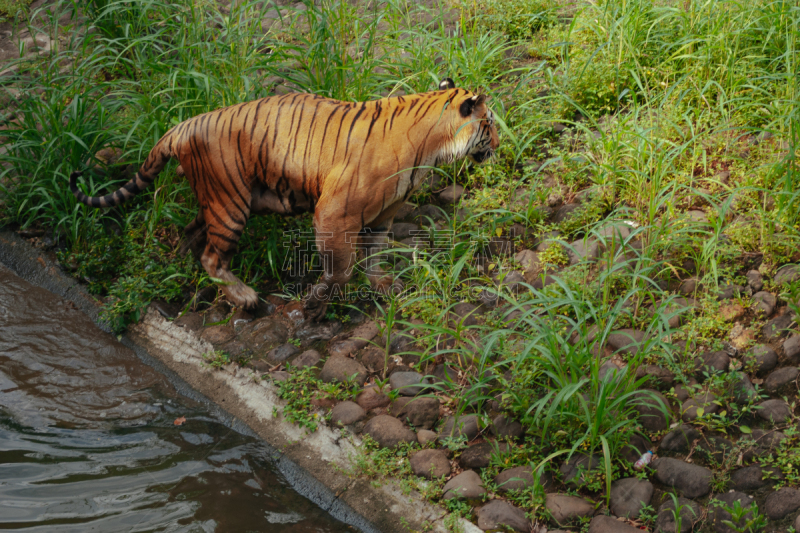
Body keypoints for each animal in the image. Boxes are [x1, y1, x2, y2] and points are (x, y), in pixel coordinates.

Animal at [70, 79, 494, 320]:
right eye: (489, 125)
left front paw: (382, 284)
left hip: (223, 200)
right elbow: (340, 269)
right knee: (212, 256)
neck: (432, 148)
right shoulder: (333, 213)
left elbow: (374, 252)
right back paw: (247, 300)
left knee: (190, 234)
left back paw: (184, 275)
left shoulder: (382, 214)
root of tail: (183, 124)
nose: (499, 144)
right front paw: (313, 307)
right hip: (231, 202)